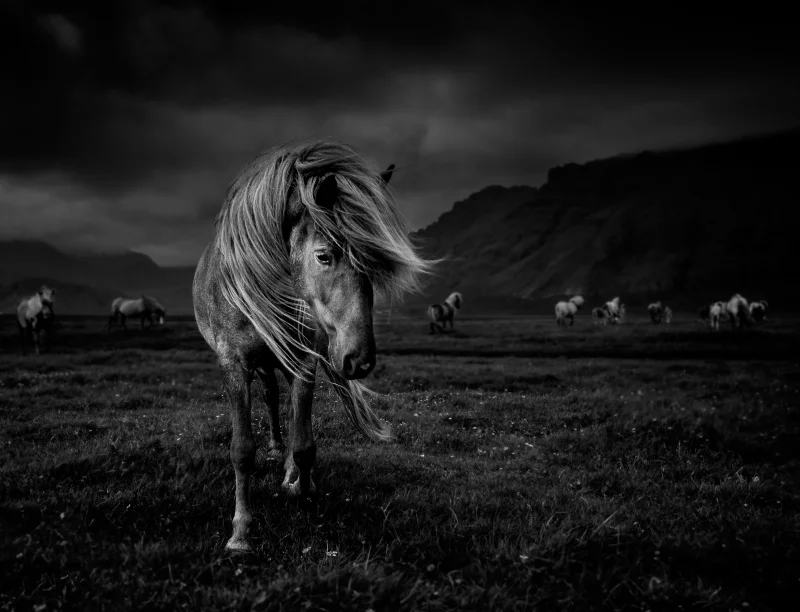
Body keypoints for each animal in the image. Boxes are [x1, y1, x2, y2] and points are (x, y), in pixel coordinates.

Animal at [192, 140, 432, 553]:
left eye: (373, 263)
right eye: (324, 256)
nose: (359, 360)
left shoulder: (303, 361)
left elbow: (304, 444)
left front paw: (301, 493)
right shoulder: (234, 365)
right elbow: (241, 450)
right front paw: (241, 531)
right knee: (272, 399)